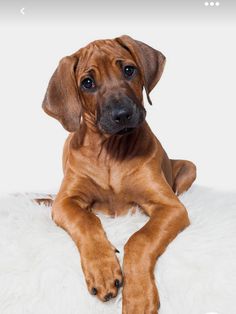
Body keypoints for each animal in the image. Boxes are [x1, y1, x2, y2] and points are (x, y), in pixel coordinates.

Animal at [41, 35, 196, 314]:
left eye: (129, 70)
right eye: (87, 83)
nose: (122, 114)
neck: (110, 153)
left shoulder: (170, 207)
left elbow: (140, 238)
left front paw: (138, 297)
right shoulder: (65, 202)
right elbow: (86, 220)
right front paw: (103, 271)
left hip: (189, 167)